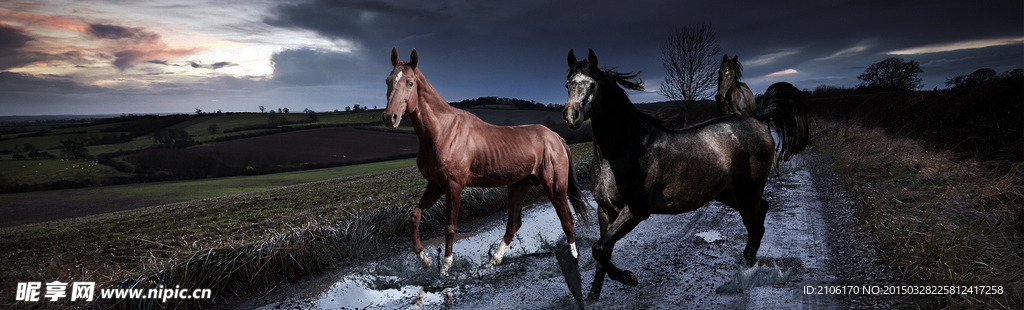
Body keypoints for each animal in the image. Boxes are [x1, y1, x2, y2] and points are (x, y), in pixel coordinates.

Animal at [382, 48, 593, 276]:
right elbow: (415, 216)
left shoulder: (453, 186)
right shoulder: (436, 185)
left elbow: (450, 226)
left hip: (555, 186)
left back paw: (573, 258)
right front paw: (426, 260)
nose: (390, 117)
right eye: (388, 81)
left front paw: (445, 266)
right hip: (519, 186)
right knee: (513, 224)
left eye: (410, 83)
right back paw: (492, 261)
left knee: (567, 219)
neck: (443, 130)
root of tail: (556, 137)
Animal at [561, 49, 806, 302]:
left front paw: (628, 278)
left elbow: (599, 249)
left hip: (747, 193)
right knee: (762, 211)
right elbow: (602, 253)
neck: (624, 148)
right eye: (568, 84)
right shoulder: (606, 210)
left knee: (755, 226)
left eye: (593, 84)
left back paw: (747, 271)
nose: (571, 116)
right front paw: (592, 296)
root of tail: (757, 120)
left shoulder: (636, 211)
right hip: (729, 194)